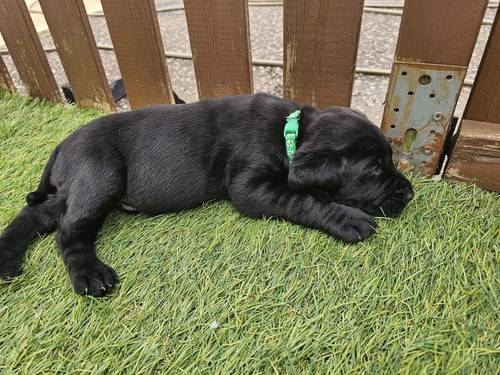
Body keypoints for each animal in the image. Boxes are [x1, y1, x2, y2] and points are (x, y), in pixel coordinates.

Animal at [0, 93, 414, 296]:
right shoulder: (250, 188)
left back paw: (6, 259)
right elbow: (307, 199)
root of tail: (61, 146)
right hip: (100, 174)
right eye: (374, 171)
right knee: (68, 231)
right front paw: (347, 219)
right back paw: (90, 275)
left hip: (80, 186)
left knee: (38, 215)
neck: (292, 131)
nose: (409, 194)